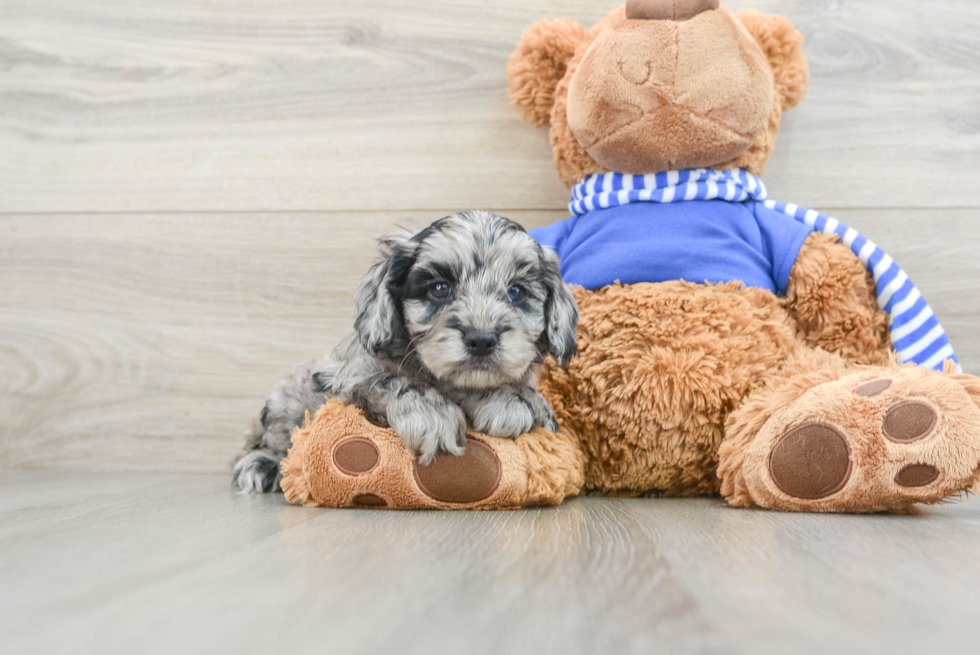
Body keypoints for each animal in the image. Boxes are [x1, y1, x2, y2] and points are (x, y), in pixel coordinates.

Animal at [233, 210, 580, 492]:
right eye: (440, 288)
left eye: (516, 292)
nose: (481, 339)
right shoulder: (346, 381)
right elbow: (391, 380)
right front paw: (432, 412)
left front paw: (513, 397)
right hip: (288, 401)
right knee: (270, 438)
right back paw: (261, 464)